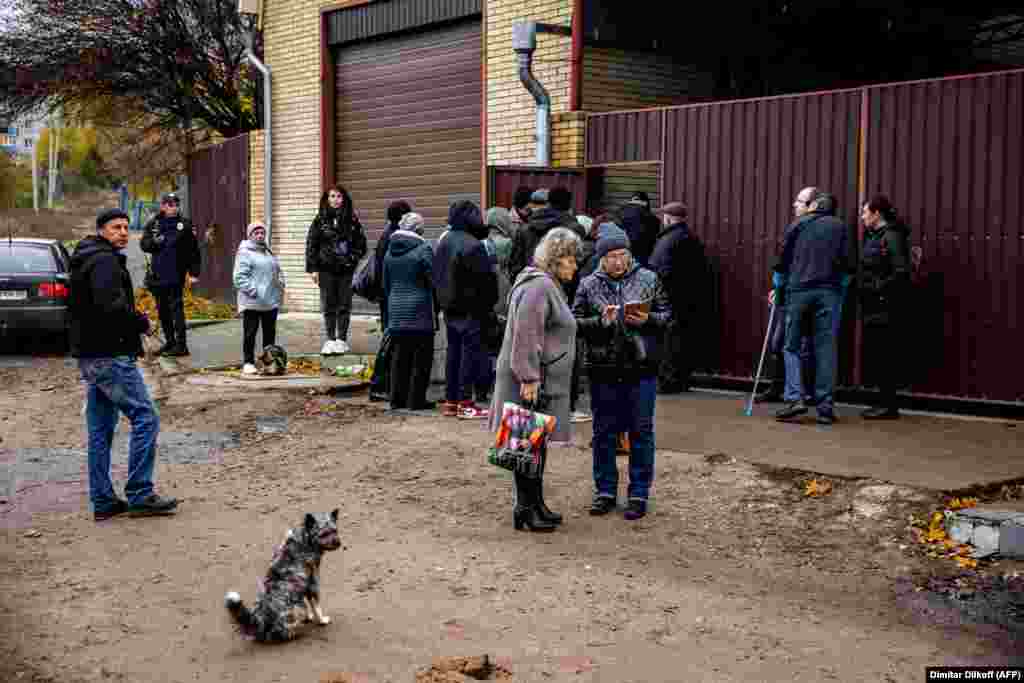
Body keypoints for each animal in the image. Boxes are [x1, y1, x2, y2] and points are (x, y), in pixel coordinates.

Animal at [225, 509, 344, 643]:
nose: (338, 543)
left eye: (335, 530)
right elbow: (316, 606)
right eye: (323, 534)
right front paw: (322, 620)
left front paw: (310, 616)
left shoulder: (305, 586)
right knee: (287, 634)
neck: (305, 538)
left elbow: (309, 602)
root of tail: (260, 623)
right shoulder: (313, 583)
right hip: (298, 608)